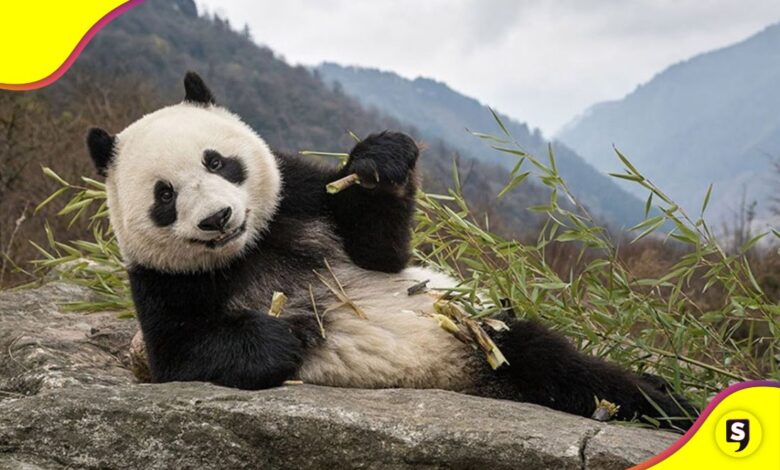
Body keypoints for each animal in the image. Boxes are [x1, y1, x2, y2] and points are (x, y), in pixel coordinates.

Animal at [85, 72, 694, 428]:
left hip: (470, 331)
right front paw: (281, 336)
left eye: (218, 161)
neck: (251, 247)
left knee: (556, 360)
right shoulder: (162, 280)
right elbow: (180, 354)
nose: (218, 218)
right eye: (165, 195)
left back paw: (666, 402)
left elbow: (380, 251)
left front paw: (380, 161)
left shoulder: (297, 196)